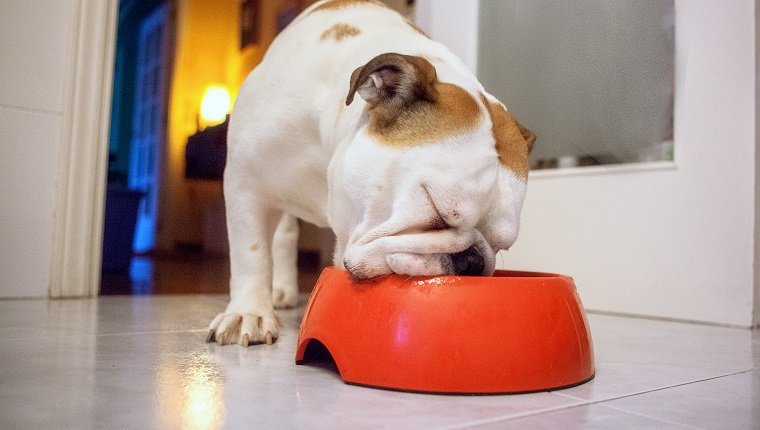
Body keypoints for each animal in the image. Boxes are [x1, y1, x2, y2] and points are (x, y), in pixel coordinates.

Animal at [208, 0, 536, 344]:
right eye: (436, 209)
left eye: (500, 246)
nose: (471, 260)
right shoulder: (245, 181)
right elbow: (251, 252)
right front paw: (248, 313)